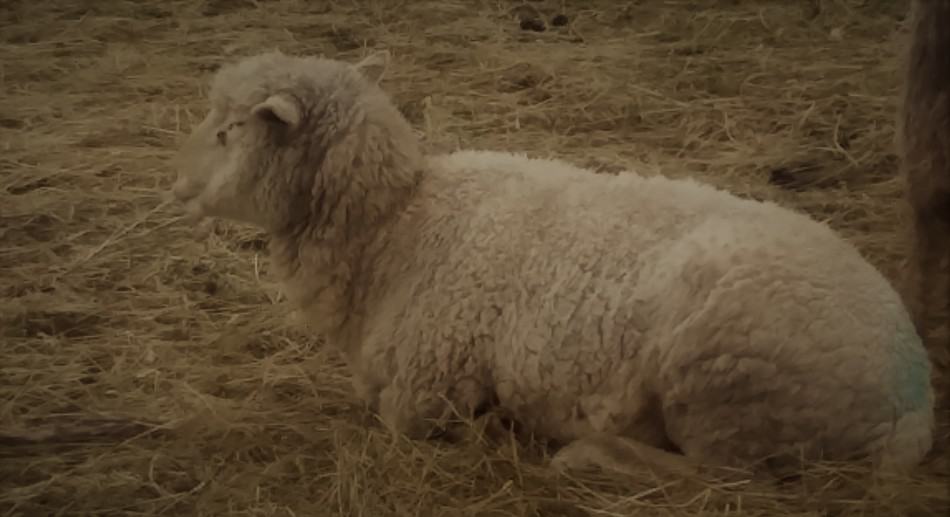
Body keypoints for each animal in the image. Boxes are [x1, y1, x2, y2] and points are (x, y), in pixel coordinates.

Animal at [169, 50, 936, 478]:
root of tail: (914, 402)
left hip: (726, 383)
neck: (399, 226)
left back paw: (591, 456)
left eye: (229, 130)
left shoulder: (427, 391)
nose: (174, 185)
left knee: (725, 479)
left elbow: (404, 417)